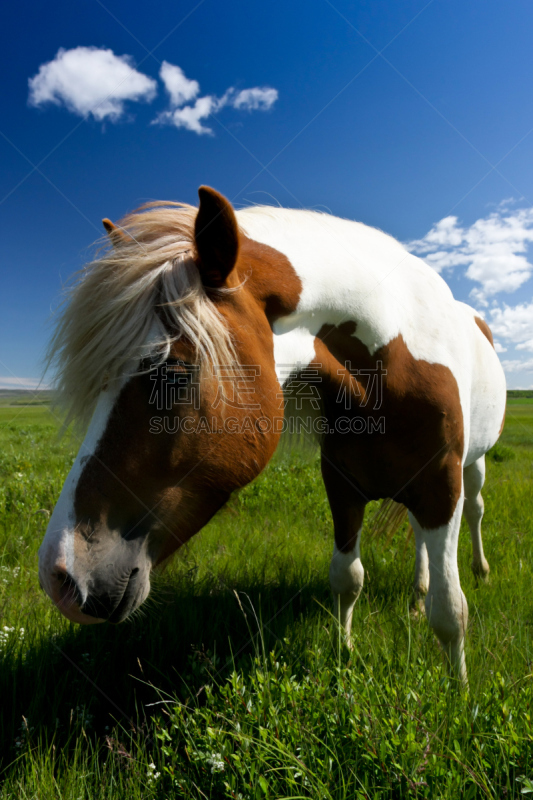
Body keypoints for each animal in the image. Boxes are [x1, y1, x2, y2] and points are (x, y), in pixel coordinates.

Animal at [39, 184, 504, 684]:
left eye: (175, 372)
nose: (60, 576)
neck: (394, 363)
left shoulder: (441, 486)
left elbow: (450, 610)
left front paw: (458, 689)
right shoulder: (343, 486)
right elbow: (347, 578)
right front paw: (344, 651)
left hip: (471, 469)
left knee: (474, 512)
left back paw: (480, 570)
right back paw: (416, 594)